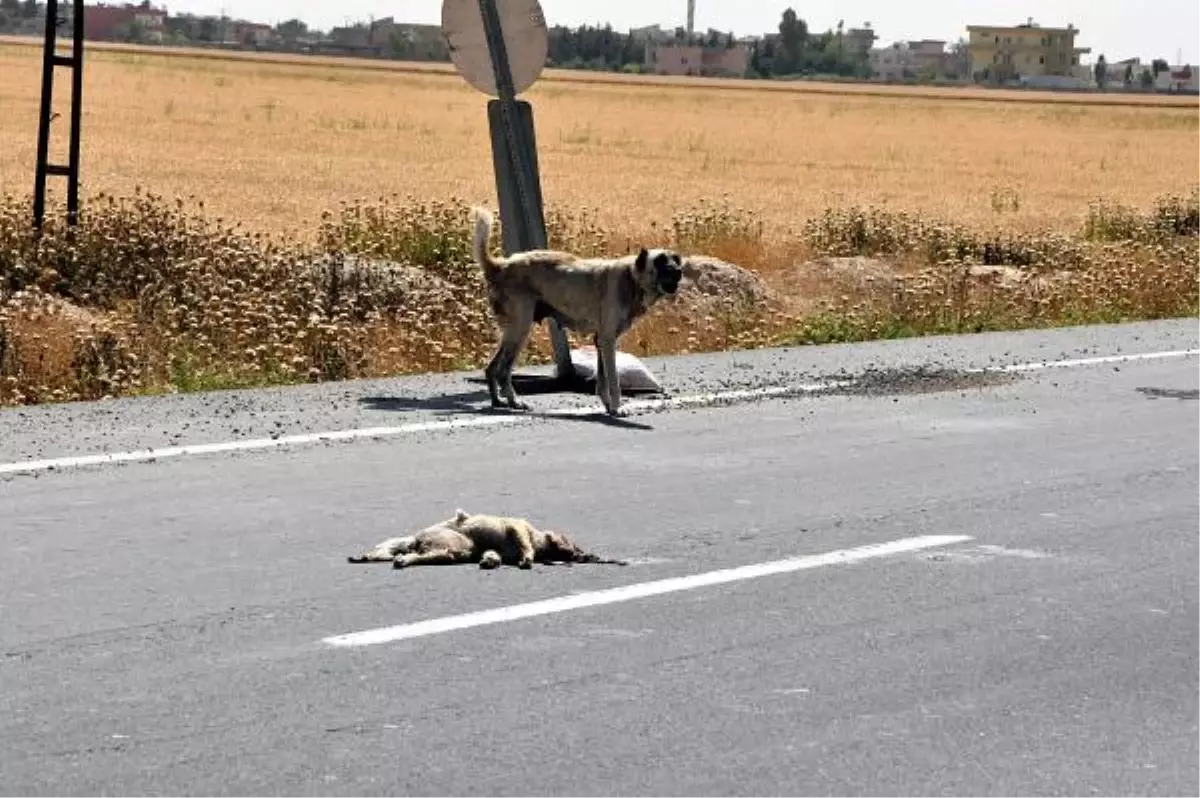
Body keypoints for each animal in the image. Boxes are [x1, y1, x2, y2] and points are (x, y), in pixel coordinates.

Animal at [472, 205, 691, 417]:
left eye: (676, 259)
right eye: (660, 261)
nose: (679, 272)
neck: (632, 277)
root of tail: (500, 266)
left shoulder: (601, 342)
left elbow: (603, 380)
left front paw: (608, 406)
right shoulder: (608, 341)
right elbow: (613, 381)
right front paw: (617, 407)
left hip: (513, 333)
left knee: (491, 368)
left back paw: (498, 401)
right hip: (520, 330)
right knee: (503, 371)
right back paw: (514, 401)